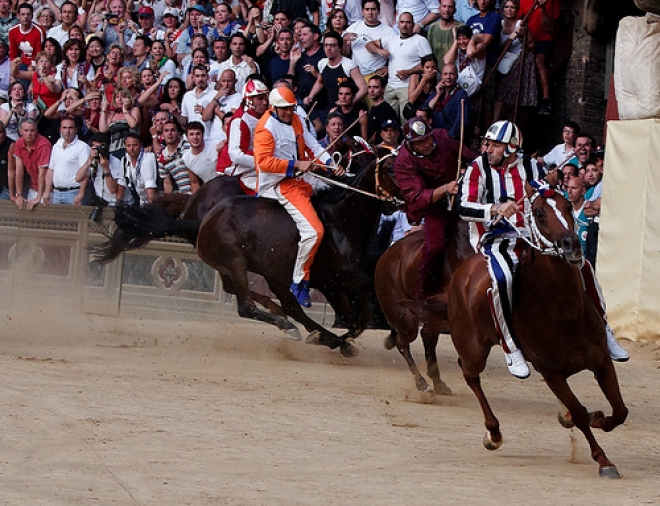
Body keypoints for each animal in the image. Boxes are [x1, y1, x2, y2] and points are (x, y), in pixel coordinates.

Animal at [93, 140, 402, 358]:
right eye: (389, 168)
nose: (402, 199)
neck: (342, 221)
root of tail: (199, 217)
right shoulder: (333, 282)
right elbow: (357, 316)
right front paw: (349, 339)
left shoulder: (348, 282)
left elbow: (361, 317)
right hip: (238, 262)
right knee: (251, 305)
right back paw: (299, 329)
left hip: (255, 270)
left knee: (270, 301)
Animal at [446, 183, 628, 478]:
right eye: (540, 213)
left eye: (568, 206)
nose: (572, 245)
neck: (564, 311)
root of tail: (465, 269)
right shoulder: (551, 372)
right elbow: (579, 412)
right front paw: (603, 460)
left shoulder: (600, 360)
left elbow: (620, 410)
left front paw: (598, 418)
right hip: (472, 346)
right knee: (470, 374)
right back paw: (493, 433)